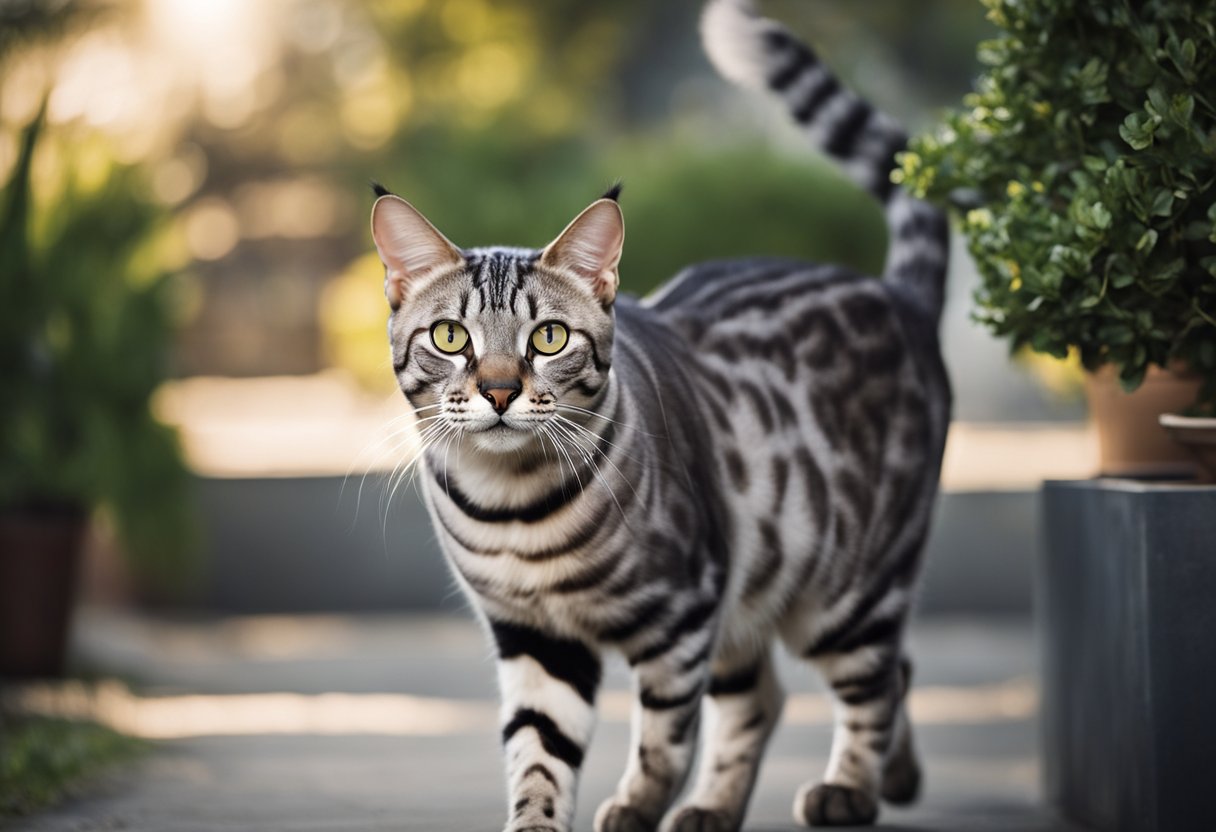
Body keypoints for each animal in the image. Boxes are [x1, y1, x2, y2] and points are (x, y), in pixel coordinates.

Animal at [364, 1, 953, 827]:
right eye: (451, 337)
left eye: (548, 338)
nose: (501, 391)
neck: (514, 507)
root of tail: (899, 293)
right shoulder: (534, 637)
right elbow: (538, 751)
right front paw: (538, 817)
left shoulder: (683, 612)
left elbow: (665, 736)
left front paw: (637, 803)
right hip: (762, 581)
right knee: (781, 692)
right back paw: (742, 802)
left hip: (847, 584)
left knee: (874, 677)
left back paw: (854, 787)